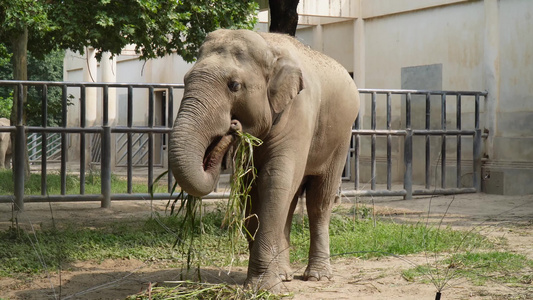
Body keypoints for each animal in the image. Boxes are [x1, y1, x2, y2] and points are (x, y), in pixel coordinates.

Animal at [169, 29, 362, 292]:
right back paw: (285, 274)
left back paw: (318, 277)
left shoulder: (299, 111)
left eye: (234, 85)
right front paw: (266, 282)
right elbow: (251, 188)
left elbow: (275, 180)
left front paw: (263, 289)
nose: (233, 126)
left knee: (319, 200)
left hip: (341, 138)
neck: (268, 45)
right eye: (186, 80)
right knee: (291, 201)